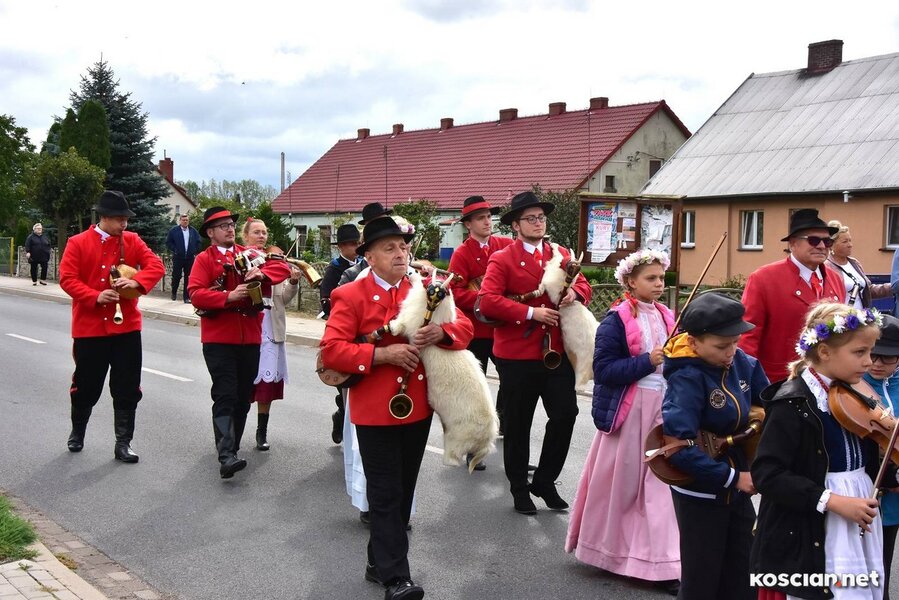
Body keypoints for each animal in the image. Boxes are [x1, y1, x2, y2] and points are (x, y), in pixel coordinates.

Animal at [389, 272, 498, 473]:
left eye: (432, 287)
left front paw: (392, 326)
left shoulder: (411, 324)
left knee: (454, 458)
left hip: (456, 439)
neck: (435, 315)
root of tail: (487, 440)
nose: (410, 272)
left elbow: (401, 325)